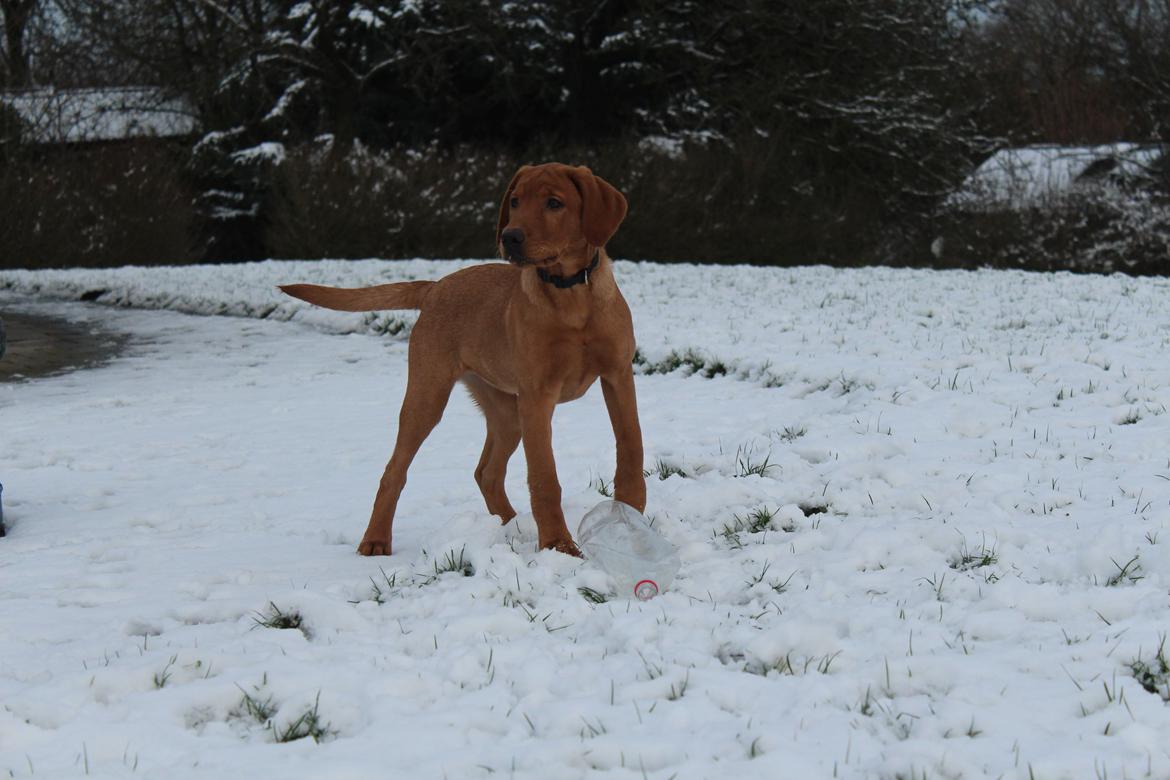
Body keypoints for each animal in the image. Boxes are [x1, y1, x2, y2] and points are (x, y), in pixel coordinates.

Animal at [283, 163, 650, 554]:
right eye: (515, 201)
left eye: (554, 203)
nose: (510, 237)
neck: (572, 294)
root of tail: (434, 287)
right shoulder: (538, 396)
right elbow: (544, 477)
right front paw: (558, 545)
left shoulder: (617, 374)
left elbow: (631, 444)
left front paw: (631, 513)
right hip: (429, 396)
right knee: (394, 472)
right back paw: (376, 540)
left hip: (506, 411)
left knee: (486, 472)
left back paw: (510, 525)